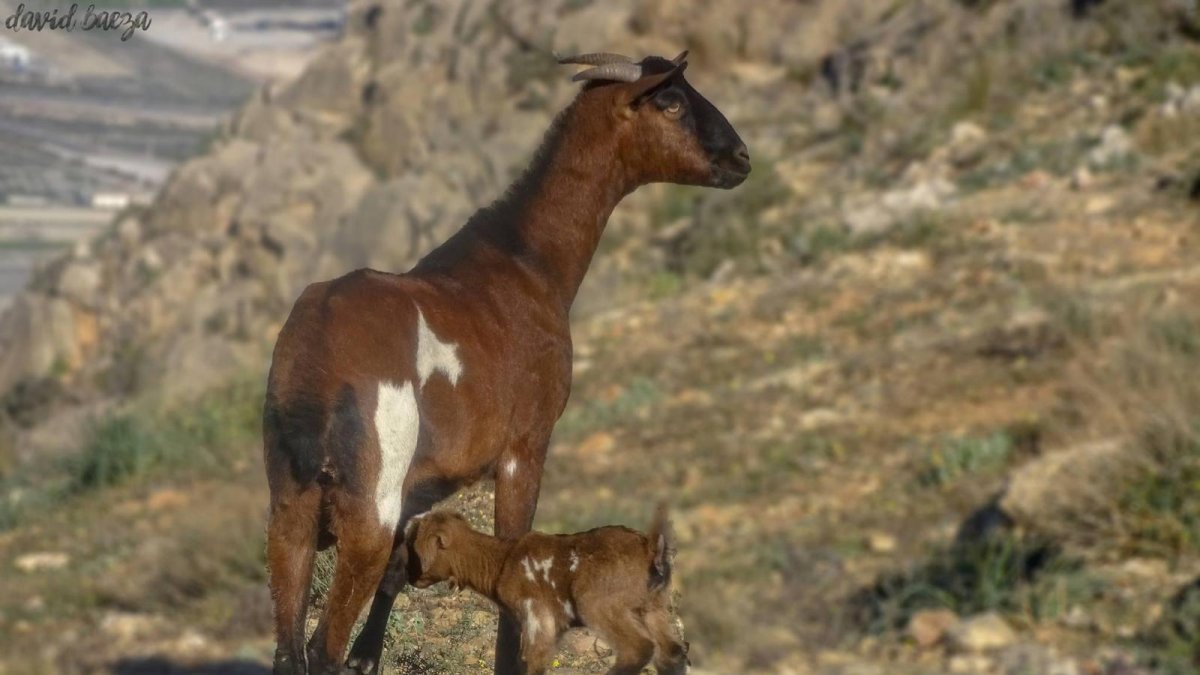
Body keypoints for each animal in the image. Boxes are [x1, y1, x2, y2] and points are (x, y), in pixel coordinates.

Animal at [265, 48, 748, 672]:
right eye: (669, 101)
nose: (740, 157)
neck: (524, 260)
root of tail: (320, 356)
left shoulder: (422, 485)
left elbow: (400, 570)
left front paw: (369, 657)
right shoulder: (525, 447)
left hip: (290, 502)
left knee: (289, 642)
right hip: (369, 496)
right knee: (322, 646)